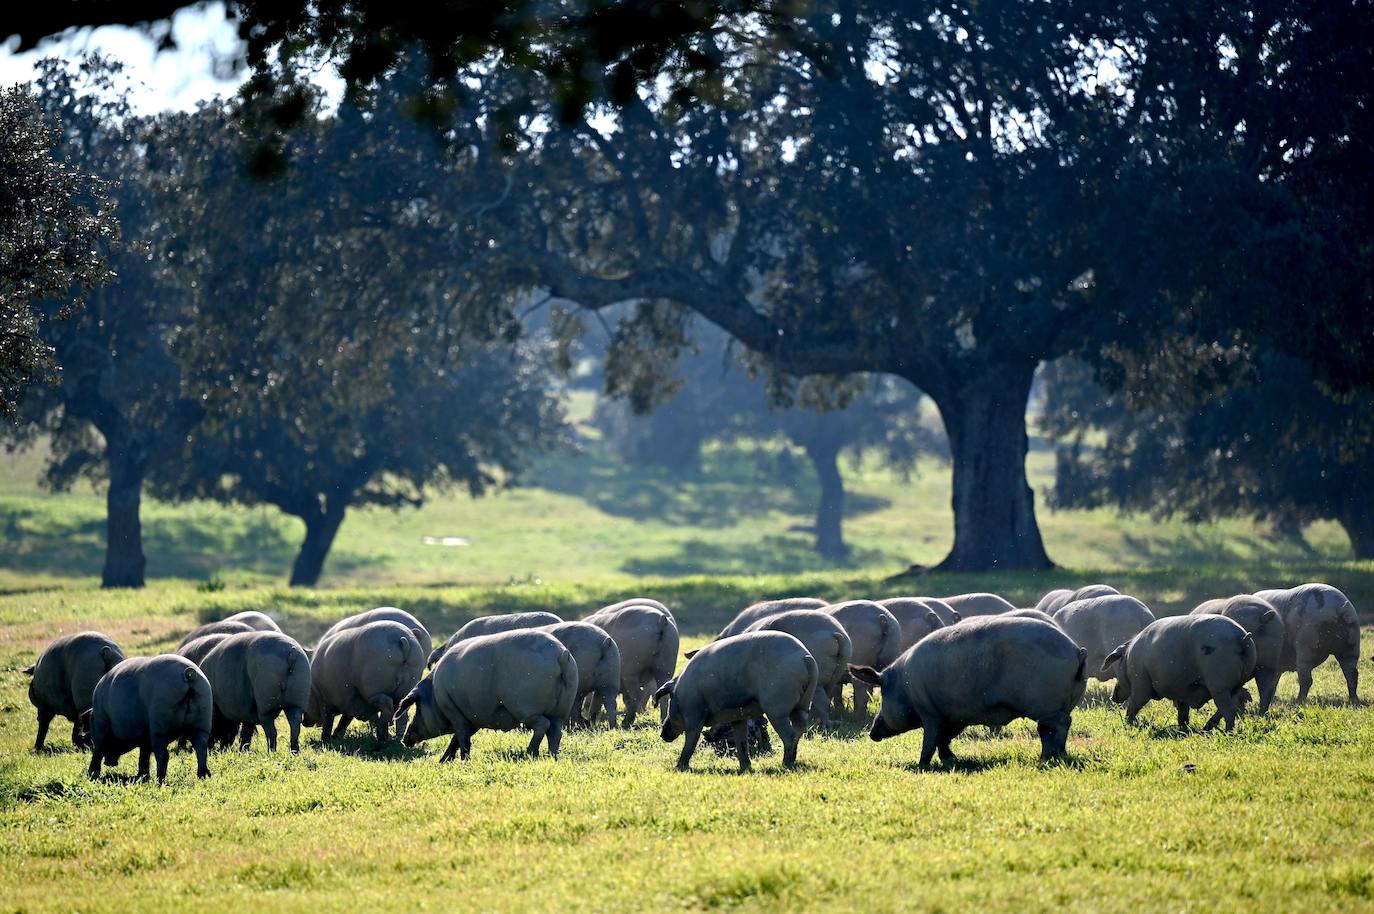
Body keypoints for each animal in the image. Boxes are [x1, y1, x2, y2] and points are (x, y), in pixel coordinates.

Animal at [85, 655, 213, 784]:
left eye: (91, 727)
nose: (110, 763)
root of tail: (188, 674)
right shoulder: (145, 737)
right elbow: (144, 755)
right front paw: (142, 777)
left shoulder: (101, 724)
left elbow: (97, 751)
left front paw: (91, 776)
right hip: (202, 722)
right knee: (201, 749)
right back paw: (203, 777)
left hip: (160, 726)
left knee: (163, 755)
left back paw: (160, 781)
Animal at [396, 629, 578, 760]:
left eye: (418, 708)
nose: (404, 740)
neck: (434, 696)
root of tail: (562, 656)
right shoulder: (472, 719)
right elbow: (457, 740)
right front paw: (443, 761)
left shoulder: (455, 712)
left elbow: (462, 738)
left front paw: (463, 761)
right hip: (561, 710)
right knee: (555, 732)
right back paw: (552, 756)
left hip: (524, 707)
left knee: (543, 725)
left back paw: (530, 752)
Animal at [652, 631, 818, 772]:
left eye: (671, 699)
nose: (662, 734)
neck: (681, 691)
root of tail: (805, 658)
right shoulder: (738, 717)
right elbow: (741, 742)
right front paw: (746, 768)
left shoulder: (694, 715)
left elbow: (690, 741)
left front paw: (680, 767)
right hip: (803, 705)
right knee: (800, 728)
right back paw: (791, 761)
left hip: (777, 709)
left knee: (789, 734)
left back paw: (785, 764)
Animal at [849, 616, 1088, 766]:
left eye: (883, 694)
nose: (871, 733)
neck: (904, 687)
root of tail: (1077, 652)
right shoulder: (954, 717)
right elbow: (944, 739)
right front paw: (950, 760)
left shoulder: (929, 712)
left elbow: (930, 739)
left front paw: (922, 764)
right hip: (1056, 705)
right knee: (1047, 729)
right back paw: (1050, 757)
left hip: (1044, 705)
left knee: (1061, 723)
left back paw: (1053, 756)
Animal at [1102, 614, 1256, 731]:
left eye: (1117, 668)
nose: (1112, 697)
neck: (1128, 658)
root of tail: (1242, 638)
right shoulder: (1182, 693)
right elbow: (1182, 713)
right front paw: (1183, 729)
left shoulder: (1140, 683)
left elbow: (1134, 705)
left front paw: (1128, 725)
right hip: (1236, 685)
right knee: (1229, 706)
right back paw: (1206, 728)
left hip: (1219, 685)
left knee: (1229, 710)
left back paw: (1227, 732)